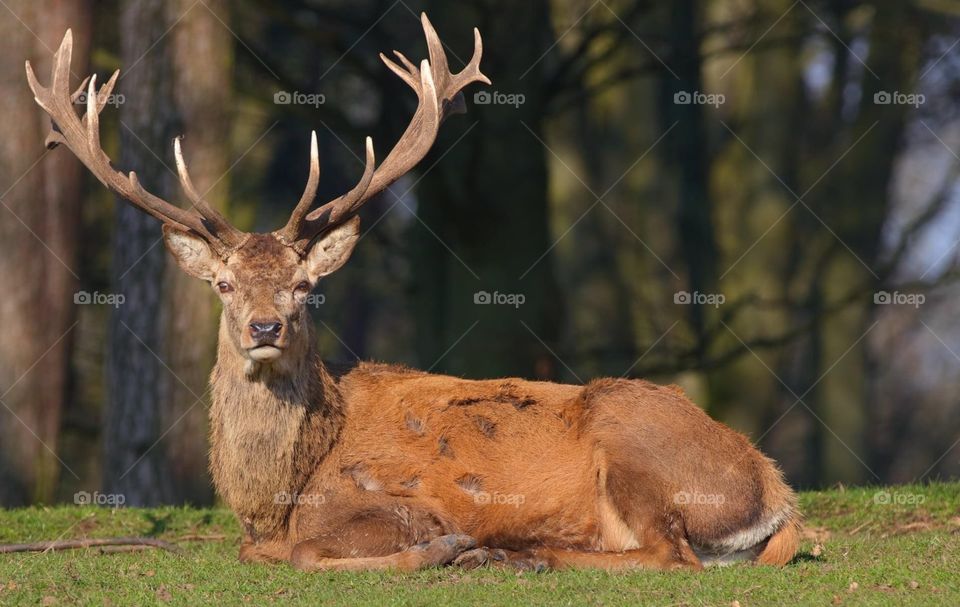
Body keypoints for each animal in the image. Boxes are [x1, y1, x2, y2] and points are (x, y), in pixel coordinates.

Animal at [26, 14, 800, 572]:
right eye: (223, 283)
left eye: (305, 285)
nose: (265, 327)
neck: (278, 496)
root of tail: (775, 492)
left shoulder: (394, 499)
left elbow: (310, 554)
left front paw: (444, 548)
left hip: (634, 437)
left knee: (671, 556)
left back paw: (517, 555)